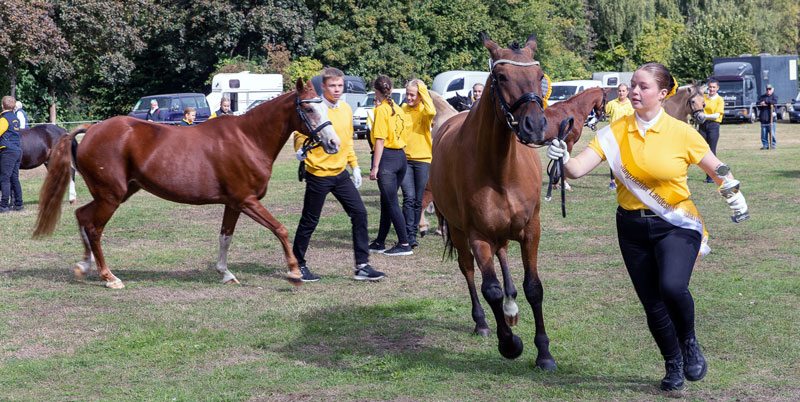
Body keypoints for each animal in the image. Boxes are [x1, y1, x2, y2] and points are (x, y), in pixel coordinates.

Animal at [32, 78, 340, 288]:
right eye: (309, 111)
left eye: (325, 109)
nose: (333, 143)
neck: (248, 139)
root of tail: (92, 130)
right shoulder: (247, 201)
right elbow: (281, 229)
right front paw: (294, 272)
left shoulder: (234, 203)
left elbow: (225, 236)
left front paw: (225, 273)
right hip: (111, 197)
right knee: (94, 228)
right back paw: (109, 277)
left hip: (115, 193)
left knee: (82, 215)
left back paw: (84, 266)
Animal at [432, 33, 556, 370]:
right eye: (501, 77)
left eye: (540, 75)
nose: (535, 126)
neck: (500, 169)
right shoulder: (477, 235)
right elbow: (491, 289)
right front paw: (509, 344)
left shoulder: (531, 230)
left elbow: (533, 288)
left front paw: (544, 353)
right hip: (459, 232)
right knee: (469, 271)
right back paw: (483, 322)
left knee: (503, 258)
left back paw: (511, 309)